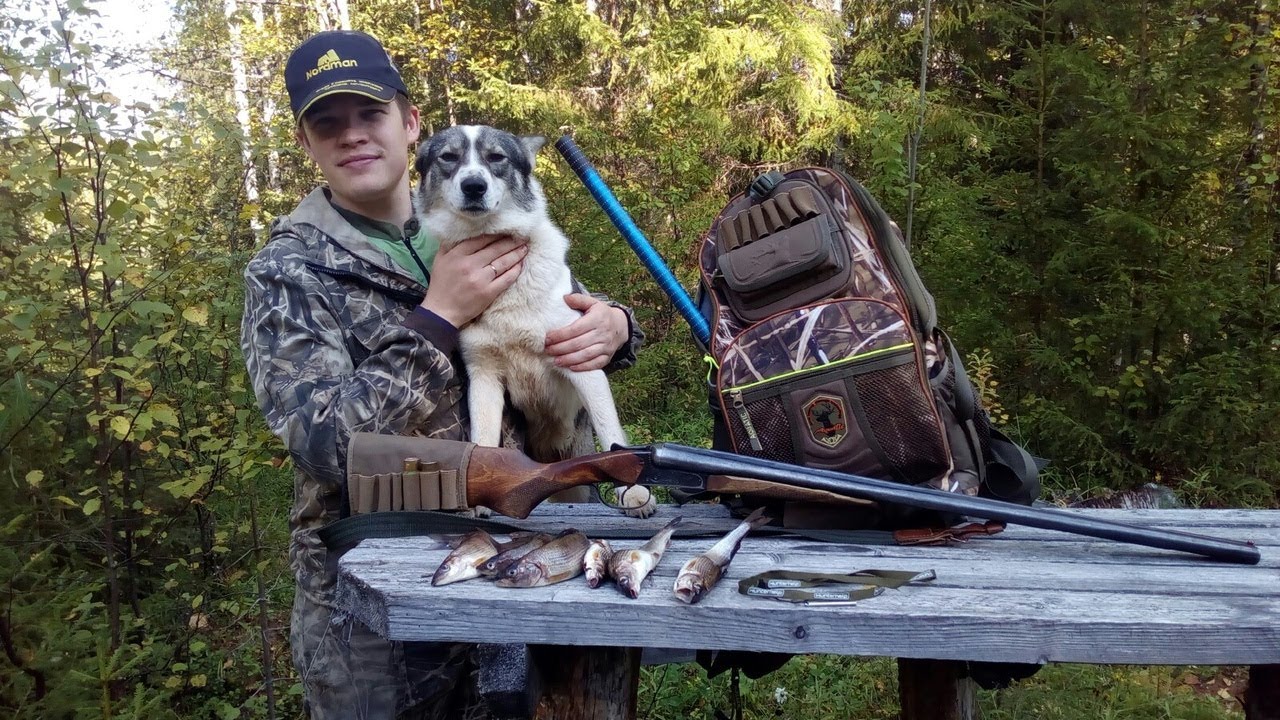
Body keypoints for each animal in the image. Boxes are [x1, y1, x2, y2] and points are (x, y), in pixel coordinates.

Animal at [414, 124, 655, 515]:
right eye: (448, 157)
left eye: (496, 157)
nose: (474, 186)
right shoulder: (484, 377)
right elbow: (483, 438)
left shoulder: (582, 364)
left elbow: (611, 431)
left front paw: (633, 492)